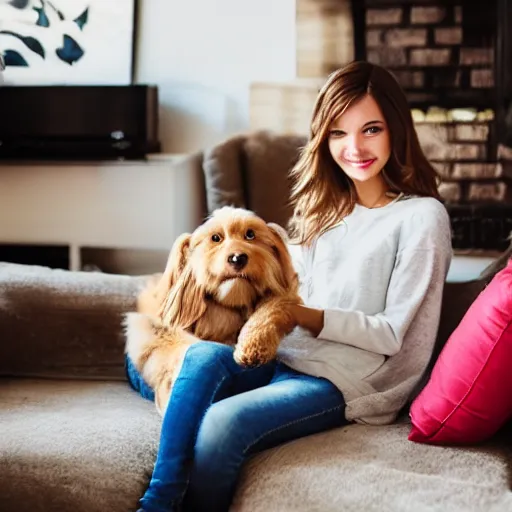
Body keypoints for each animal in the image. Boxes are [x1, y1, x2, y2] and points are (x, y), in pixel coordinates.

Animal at [124, 206, 302, 414]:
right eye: (216, 238)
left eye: (250, 234)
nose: (237, 258)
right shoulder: (154, 324)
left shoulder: (285, 296)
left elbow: (273, 307)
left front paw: (254, 347)